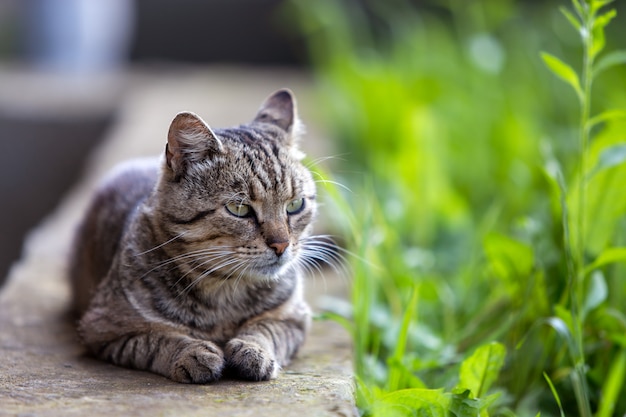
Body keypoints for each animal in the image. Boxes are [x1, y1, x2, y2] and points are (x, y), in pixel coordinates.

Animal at [70, 89, 330, 382]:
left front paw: (254, 350)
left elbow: (266, 330)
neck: (225, 290)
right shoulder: (103, 327)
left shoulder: (293, 317)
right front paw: (193, 353)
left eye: (295, 205)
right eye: (239, 209)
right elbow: (156, 339)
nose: (281, 245)